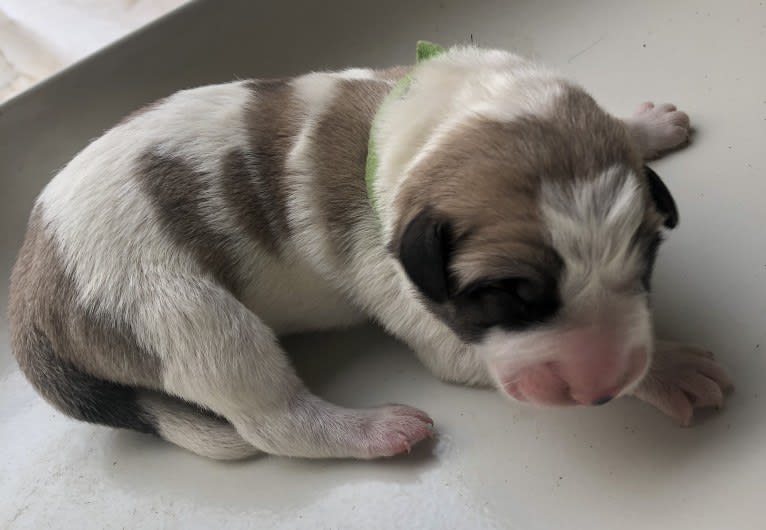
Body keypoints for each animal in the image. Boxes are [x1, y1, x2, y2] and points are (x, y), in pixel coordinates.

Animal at [10, 45, 732, 458]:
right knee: (274, 421)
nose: (603, 386)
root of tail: (28, 290)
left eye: (646, 263)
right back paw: (373, 431)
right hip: (185, 316)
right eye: (501, 295)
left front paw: (643, 126)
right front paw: (667, 370)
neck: (435, 118)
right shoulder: (423, 307)